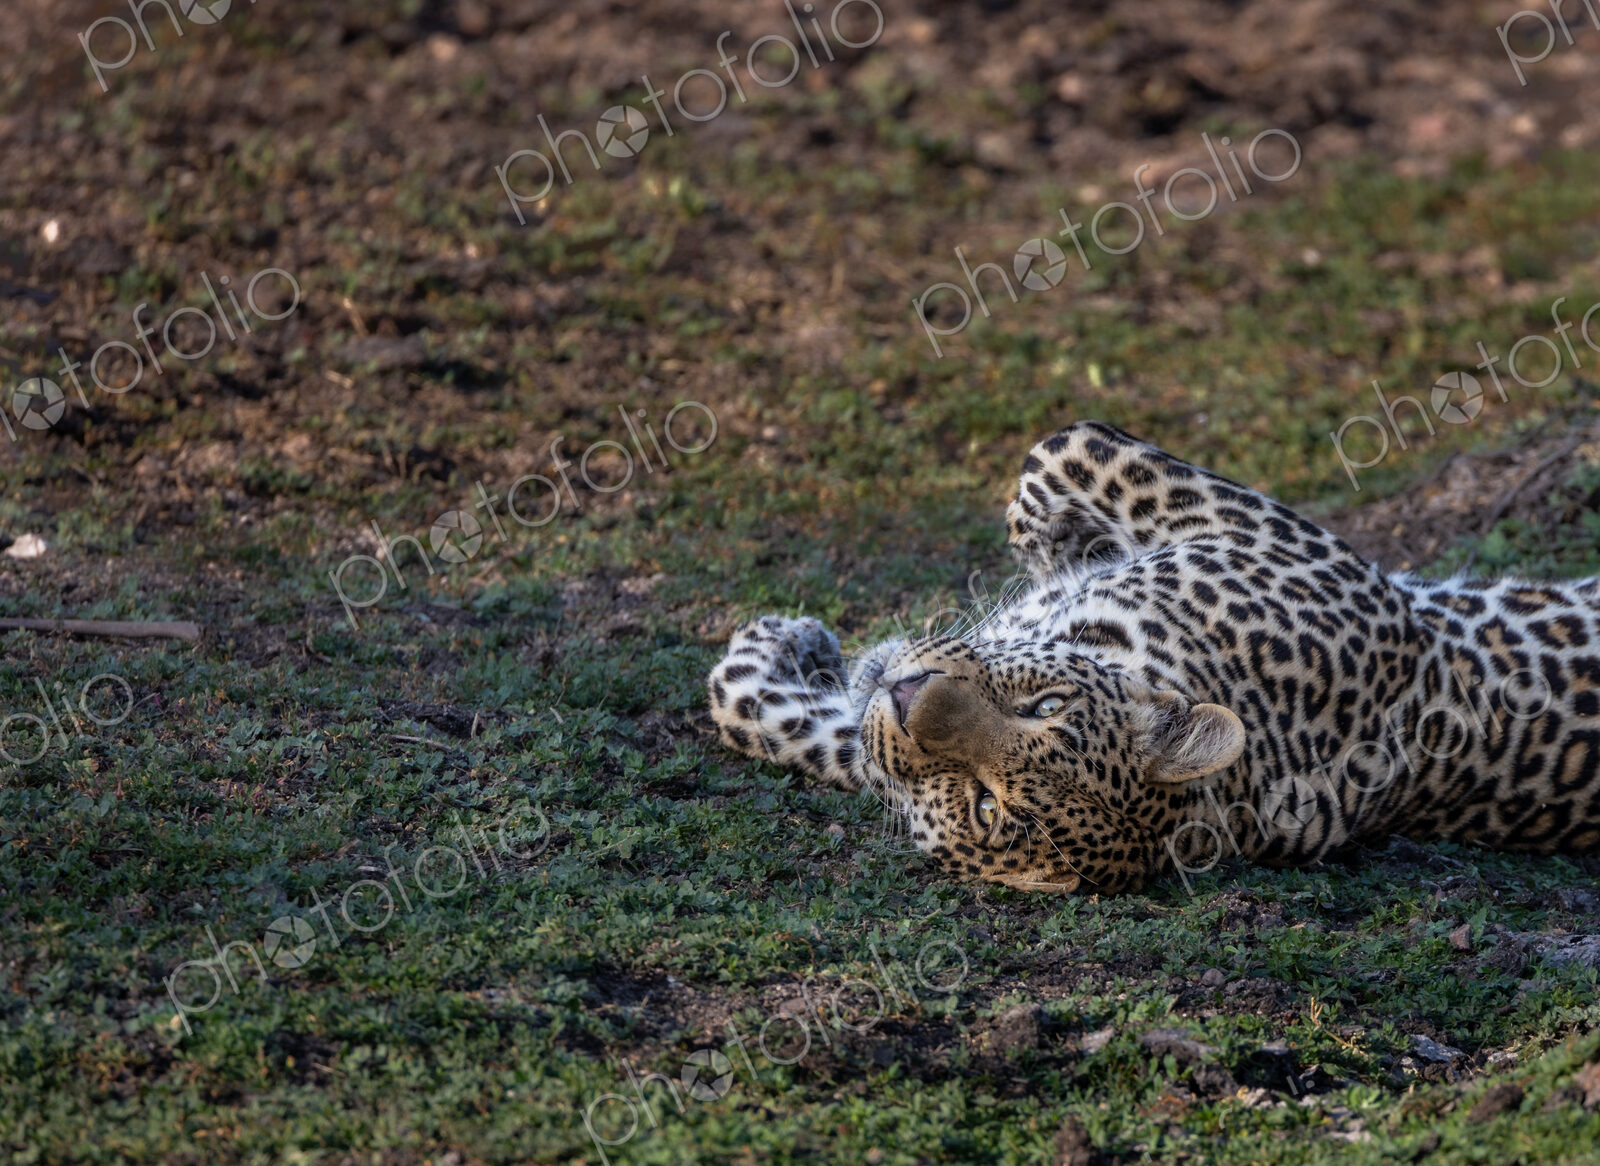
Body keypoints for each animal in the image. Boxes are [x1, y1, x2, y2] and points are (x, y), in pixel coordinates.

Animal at [706, 421, 1600, 893]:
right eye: (1045, 704)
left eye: (985, 805)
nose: (909, 694)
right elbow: (773, 717)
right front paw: (799, 649)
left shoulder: (1254, 528)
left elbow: (1061, 452)